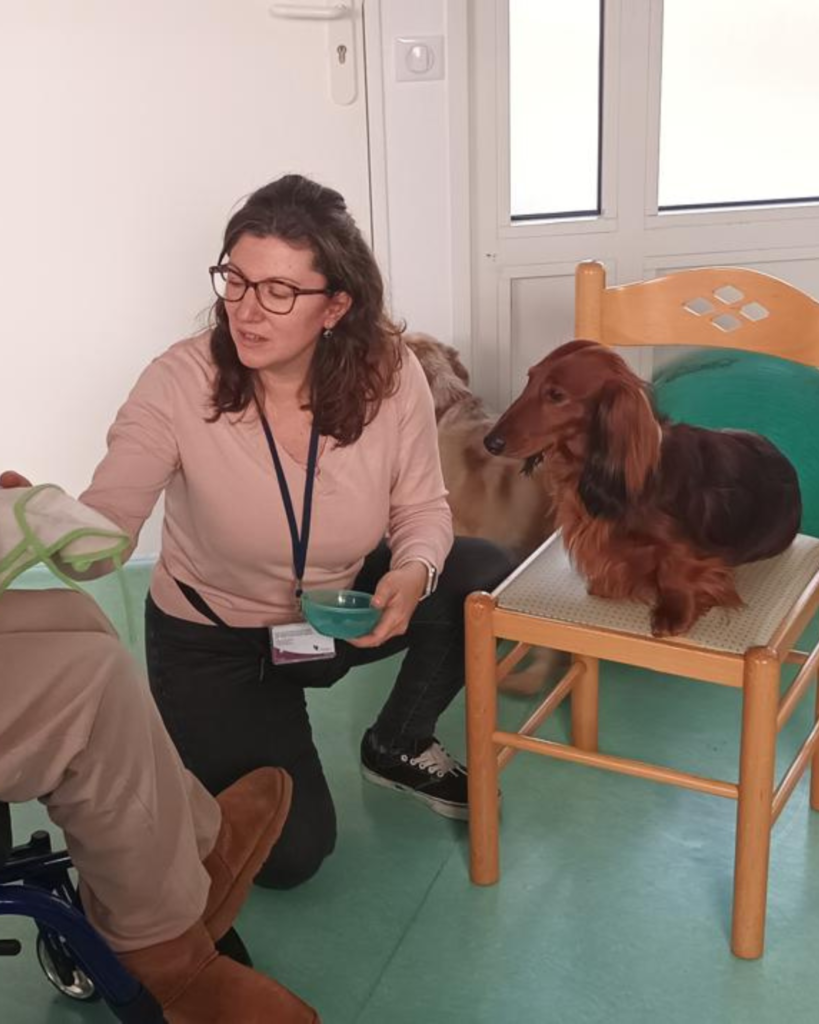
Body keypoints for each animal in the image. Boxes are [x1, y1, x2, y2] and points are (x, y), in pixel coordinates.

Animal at [484, 339, 801, 637]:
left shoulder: (687, 548)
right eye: (530, 379)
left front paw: (674, 613)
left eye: (556, 395)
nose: (490, 442)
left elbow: (676, 569)